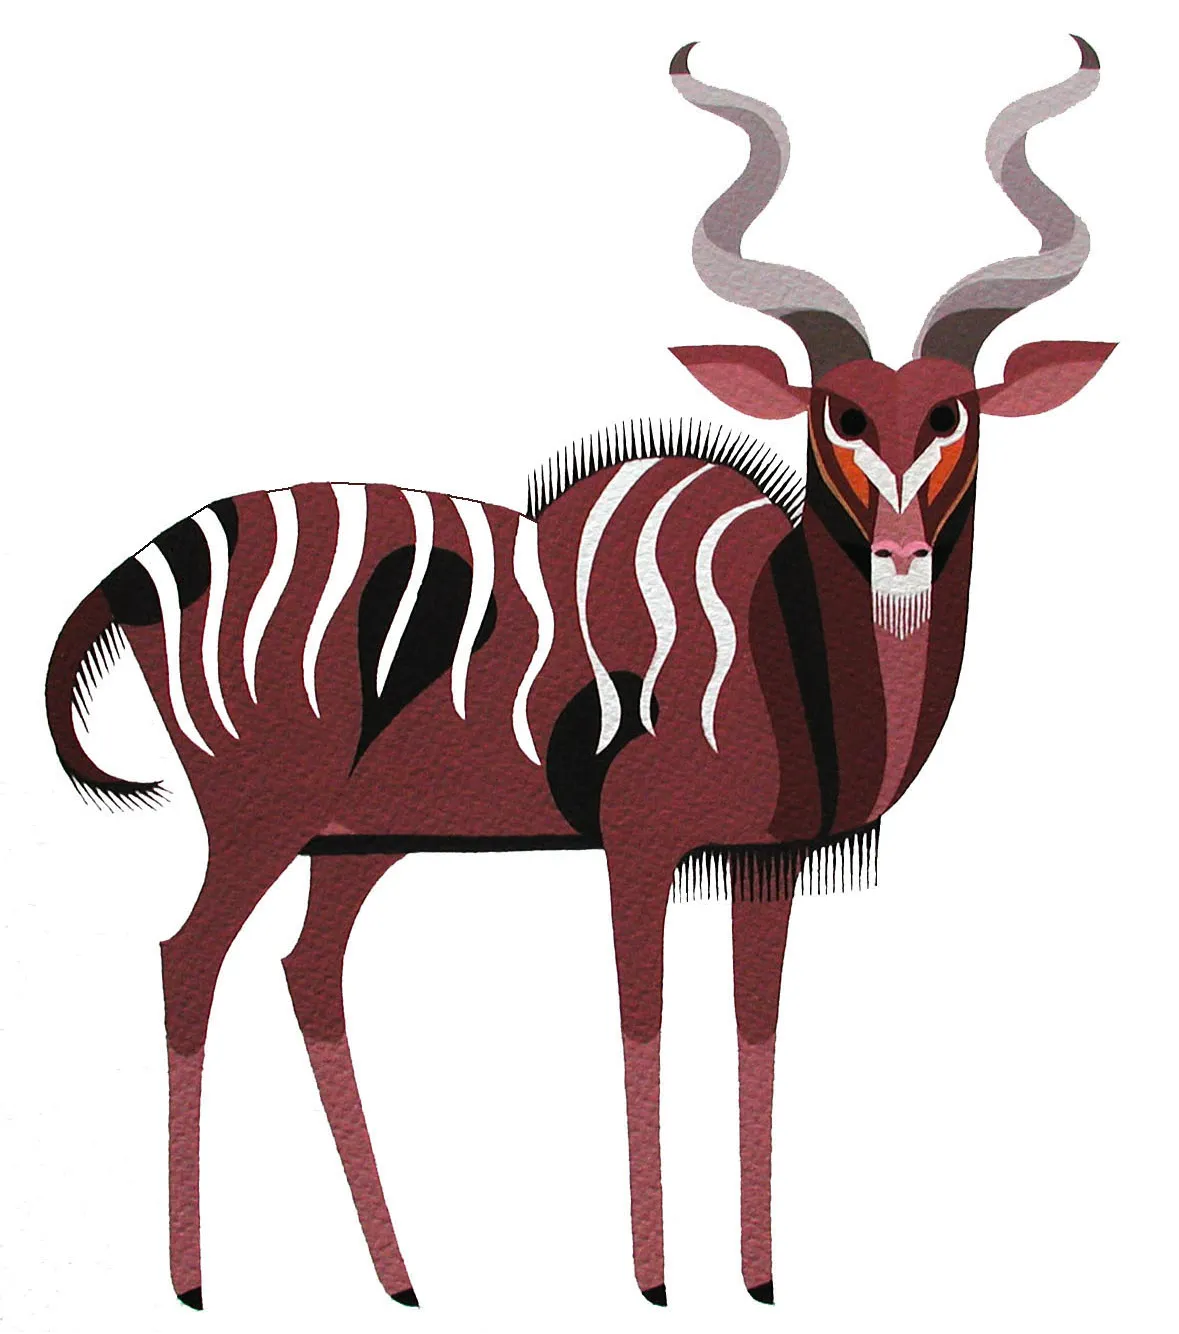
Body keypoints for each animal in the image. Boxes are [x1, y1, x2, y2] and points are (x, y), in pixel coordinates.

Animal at [45, 38, 1113, 1311]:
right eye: (840, 416)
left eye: (951, 413)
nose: (899, 548)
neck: (776, 637)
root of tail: (144, 564)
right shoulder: (639, 843)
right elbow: (641, 1023)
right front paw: (653, 1281)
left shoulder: (764, 865)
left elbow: (755, 1027)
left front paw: (758, 1279)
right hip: (261, 818)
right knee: (187, 957)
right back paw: (194, 1280)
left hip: (355, 841)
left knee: (306, 967)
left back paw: (400, 1277)